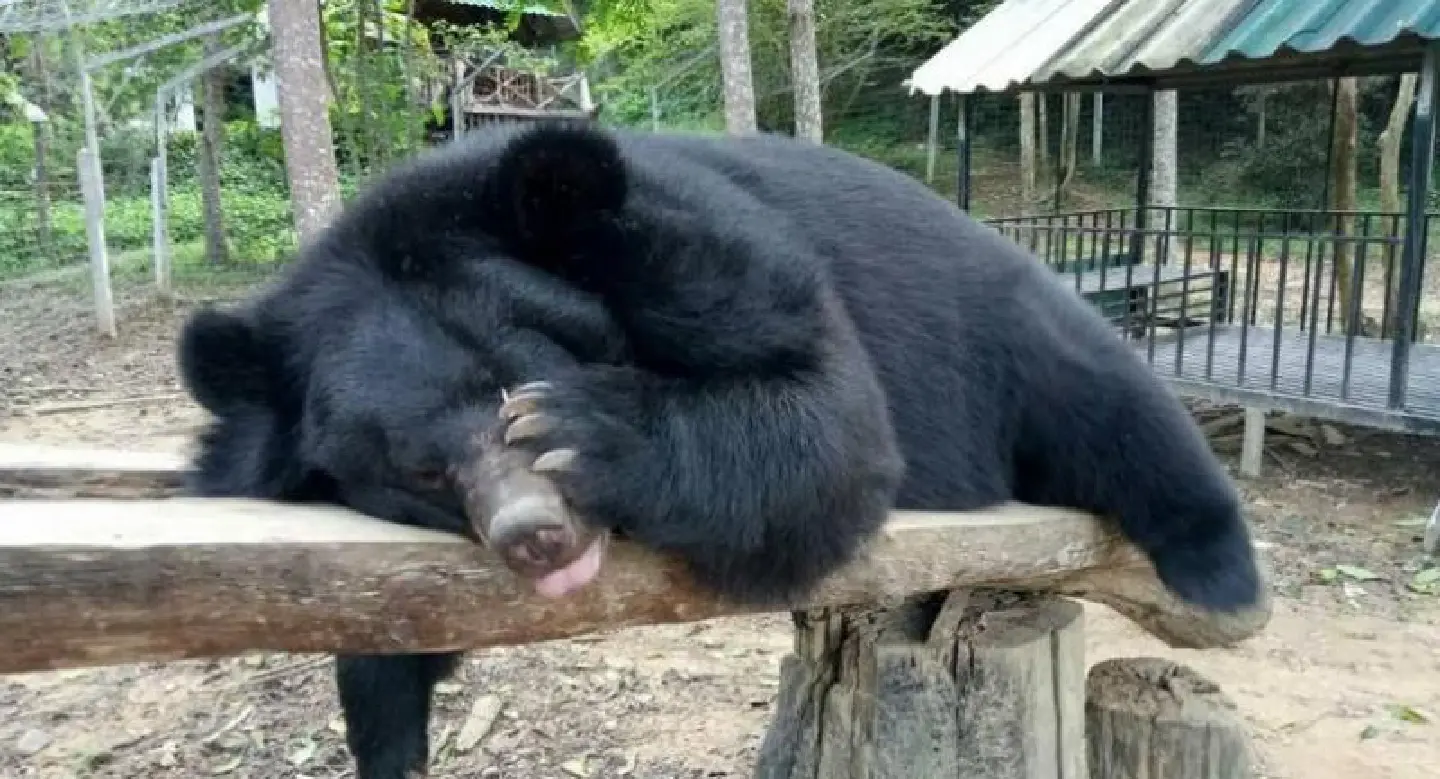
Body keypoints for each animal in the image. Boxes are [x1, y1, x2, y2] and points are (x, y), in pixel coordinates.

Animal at [177, 121, 1262, 779]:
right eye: (420, 468)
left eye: (517, 384)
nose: (537, 535)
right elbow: (392, 634)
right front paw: (392, 737)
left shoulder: (708, 249)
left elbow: (829, 419)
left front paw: (592, 429)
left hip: (1010, 332)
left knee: (1119, 410)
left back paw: (1224, 580)